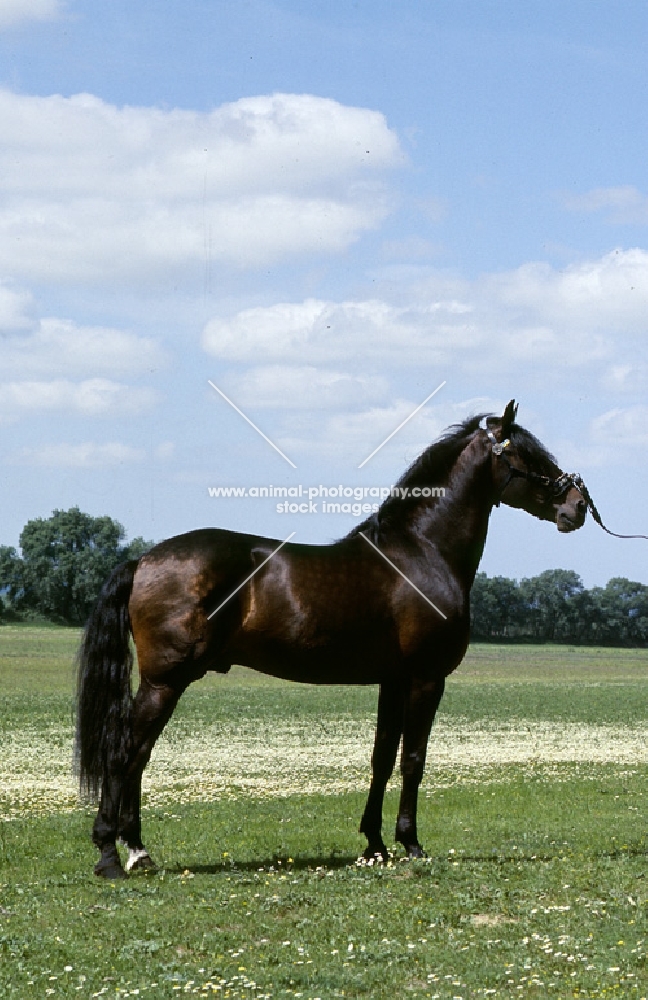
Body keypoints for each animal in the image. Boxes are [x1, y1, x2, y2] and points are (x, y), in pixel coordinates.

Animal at [74, 402, 588, 880]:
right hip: (165, 680)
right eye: (528, 454)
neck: (422, 552)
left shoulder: (393, 680)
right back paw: (110, 855)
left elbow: (382, 757)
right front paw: (411, 843)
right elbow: (414, 759)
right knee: (124, 753)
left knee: (138, 755)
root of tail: (143, 560)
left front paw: (375, 845)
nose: (578, 506)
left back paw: (138, 850)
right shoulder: (425, 678)